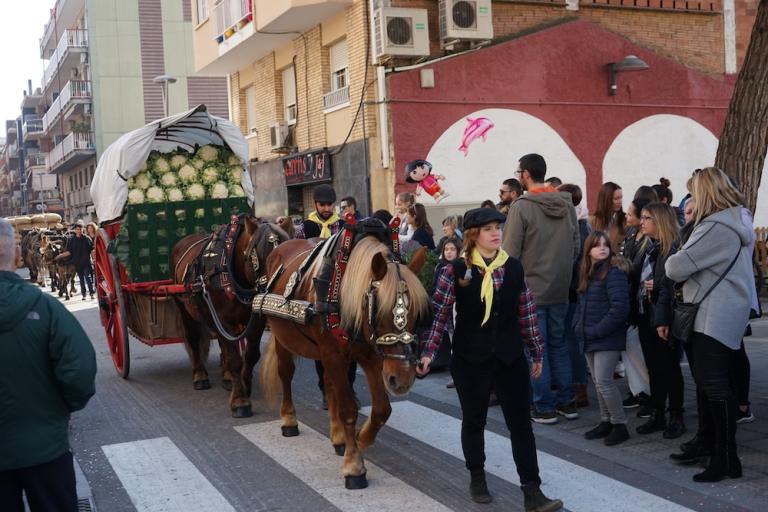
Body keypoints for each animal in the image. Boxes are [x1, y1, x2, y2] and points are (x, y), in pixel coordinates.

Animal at [170, 215, 290, 418]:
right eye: (256, 256)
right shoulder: (223, 321)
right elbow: (235, 359)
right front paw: (240, 401)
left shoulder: (256, 322)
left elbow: (250, 355)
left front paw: (244, 386)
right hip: (184, 308)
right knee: (193, 339)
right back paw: (200, 376)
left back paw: (227, 378)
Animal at [259, 235, 431, 489]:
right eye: (379, 312)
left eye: (417, 314)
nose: (402, 380)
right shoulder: (334, 355)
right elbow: (348, 409)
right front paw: (354, 465)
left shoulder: (370, 358)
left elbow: (381, 409)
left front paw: (360, 438)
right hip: (283, 338)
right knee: (286, 374)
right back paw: (289, 420)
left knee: (329, 385)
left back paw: (339, 437)